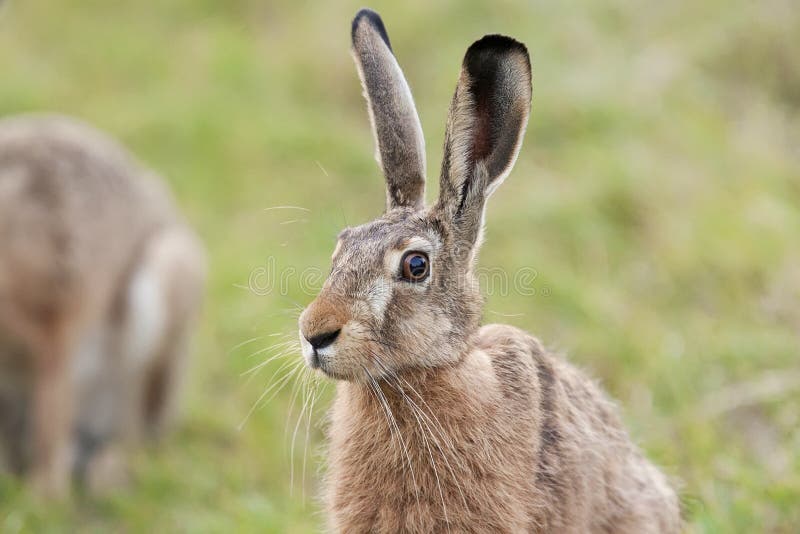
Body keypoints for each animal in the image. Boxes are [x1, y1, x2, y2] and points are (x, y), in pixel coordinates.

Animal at [0, 114, 205, 495]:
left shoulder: (57, 322)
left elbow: (50, 415)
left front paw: (44, 495)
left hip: (165, 281)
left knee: (134, 429)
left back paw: (106, 473)